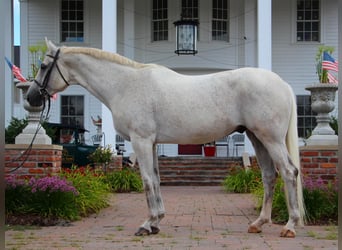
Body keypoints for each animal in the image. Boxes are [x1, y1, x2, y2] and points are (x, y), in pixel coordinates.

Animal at [26, 39, 304, 238]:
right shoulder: (152, 143)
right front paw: (157, 221)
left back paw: (290, 226)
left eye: (43, 67)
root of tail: (282, 83)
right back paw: (259, 223)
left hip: (271, 139)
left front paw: (146, 225)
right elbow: (157, 180)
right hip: (258, 138)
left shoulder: (141, 140)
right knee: (269, 176)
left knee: (289, 172)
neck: (125, 84)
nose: (31, 97)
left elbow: (147, 181)